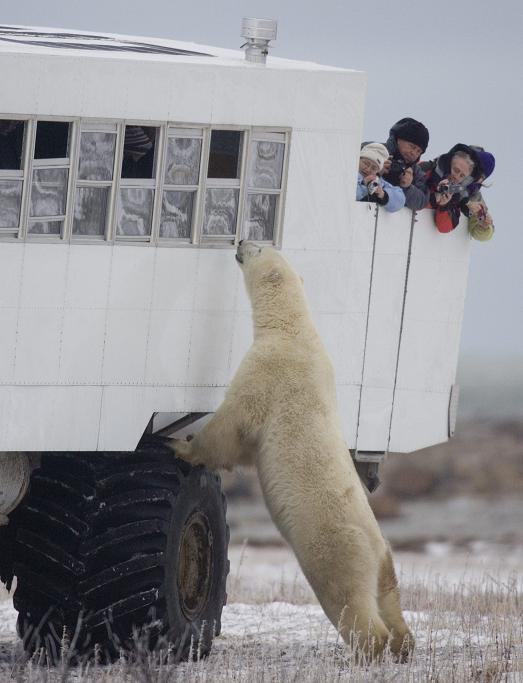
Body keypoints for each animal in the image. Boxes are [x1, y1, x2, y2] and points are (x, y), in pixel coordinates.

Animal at [170, 242, 416, 664]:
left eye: (257, 246)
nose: (240, 243)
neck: (295, 331)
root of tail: (373, 548)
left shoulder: (268, 370)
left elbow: (233, 426)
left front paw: (181, 446)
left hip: (336, 549)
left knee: (348, 600)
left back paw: (369, 648)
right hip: (383, 558)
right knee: (389, 595)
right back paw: (405, 644)